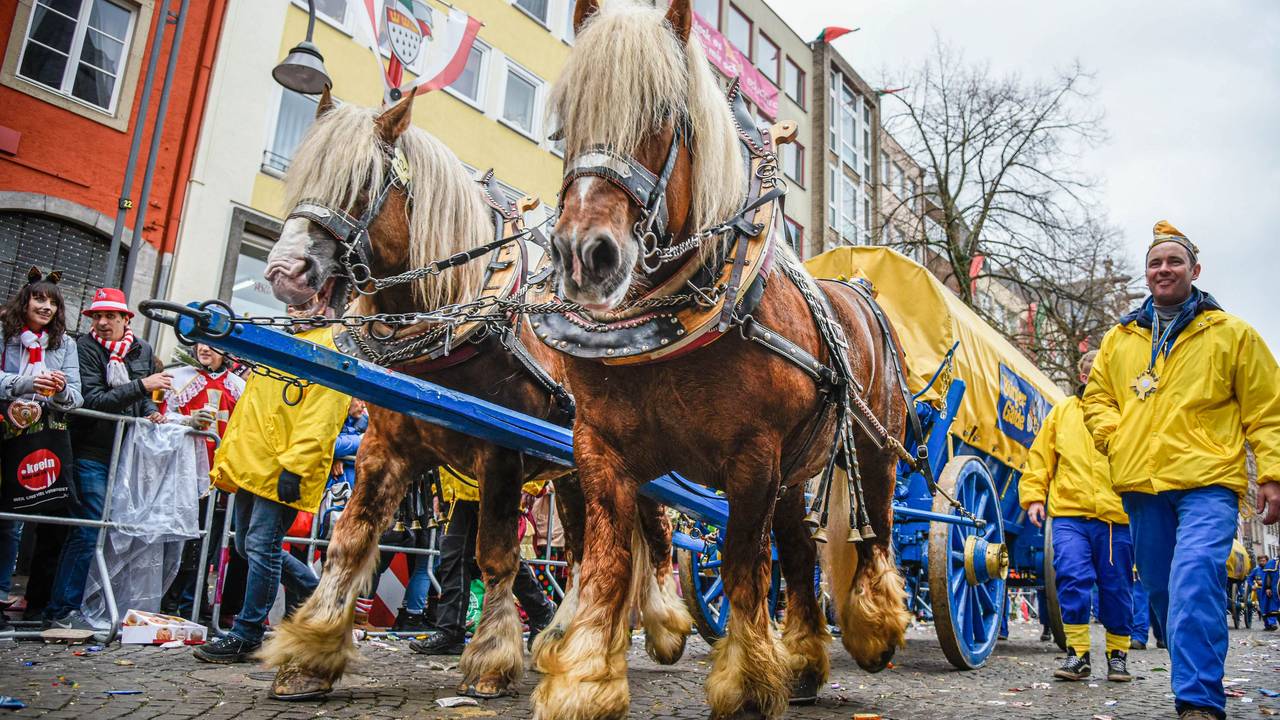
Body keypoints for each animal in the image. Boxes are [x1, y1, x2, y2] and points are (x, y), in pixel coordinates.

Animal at [257, 92, 692, 701]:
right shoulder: (385, 446)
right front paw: (308, 652)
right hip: (574, 473)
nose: (285, 271)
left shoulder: (501, 451)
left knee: (657, 536)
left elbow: (497, 554)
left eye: (363, 180)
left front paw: (489, 659)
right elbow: (350, 538)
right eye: (302, 173)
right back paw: (563, 638)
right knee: (584, 551)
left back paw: (666, 628)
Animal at [530, 1, 914, 718]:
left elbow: (740, 563)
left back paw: (875, 630)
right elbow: (606, 560)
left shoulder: (752, 456)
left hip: (875, 447)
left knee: (873, 527)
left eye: (664, 115)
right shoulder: (597, 446)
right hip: (797, 470)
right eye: (567, 117)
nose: (584, 255)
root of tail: (860, 292)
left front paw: (747, 681)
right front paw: (583, 679)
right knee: (799, 552)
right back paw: (807, 662)